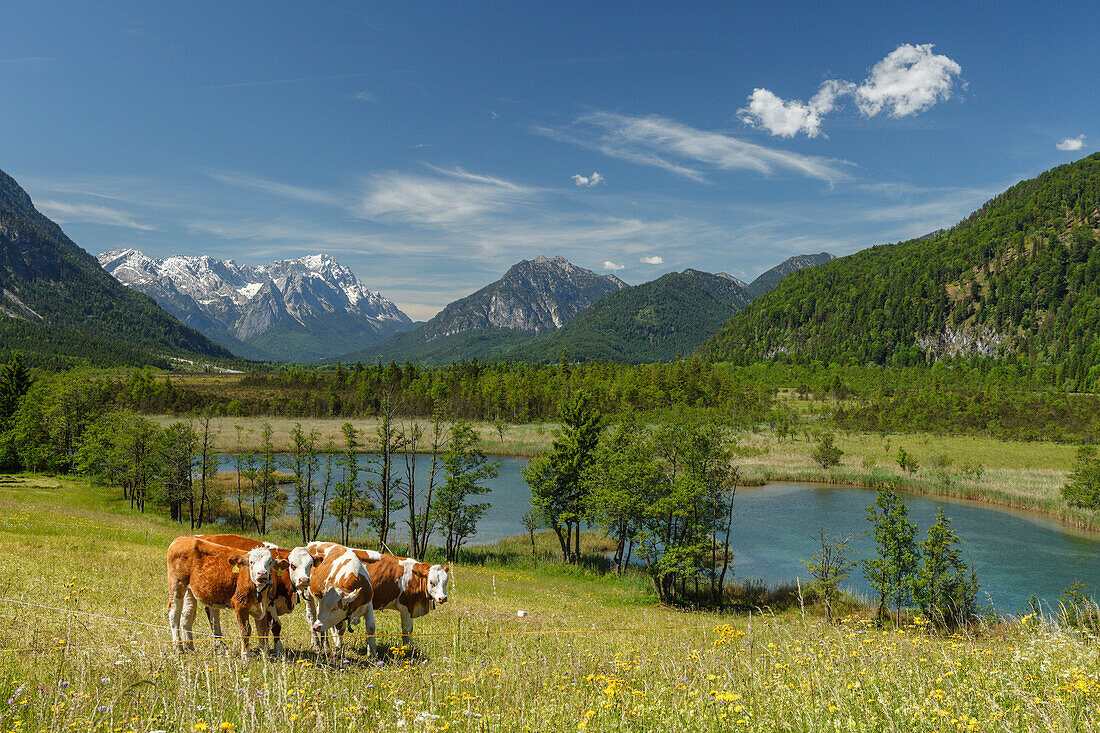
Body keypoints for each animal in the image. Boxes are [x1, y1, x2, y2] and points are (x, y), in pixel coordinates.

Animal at [305, 539, 446, 647]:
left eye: (446, 582)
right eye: (432, 582)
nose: (443, 598)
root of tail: (312, 543)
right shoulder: (406, 607)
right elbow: (407, 630)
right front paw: (408, 649)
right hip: (308, 596)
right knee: (312, 618)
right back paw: (316, 644)